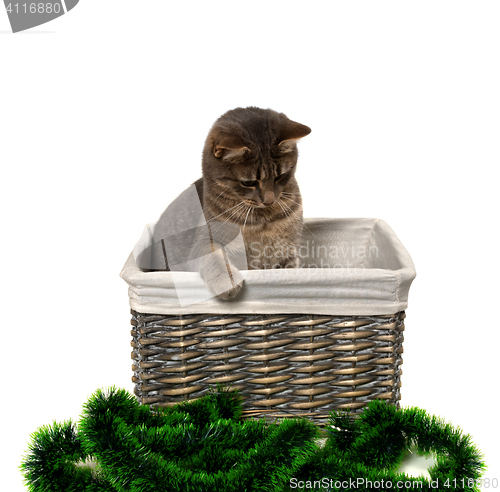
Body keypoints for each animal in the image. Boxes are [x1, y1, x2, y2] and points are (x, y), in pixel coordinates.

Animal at [139, 107, 310, 300]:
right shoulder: (206, 240)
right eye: (249, 182)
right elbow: (214, 258)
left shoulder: (288, 254)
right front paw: (226, 282)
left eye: (280, 176)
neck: (262, 221)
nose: (269, 200)